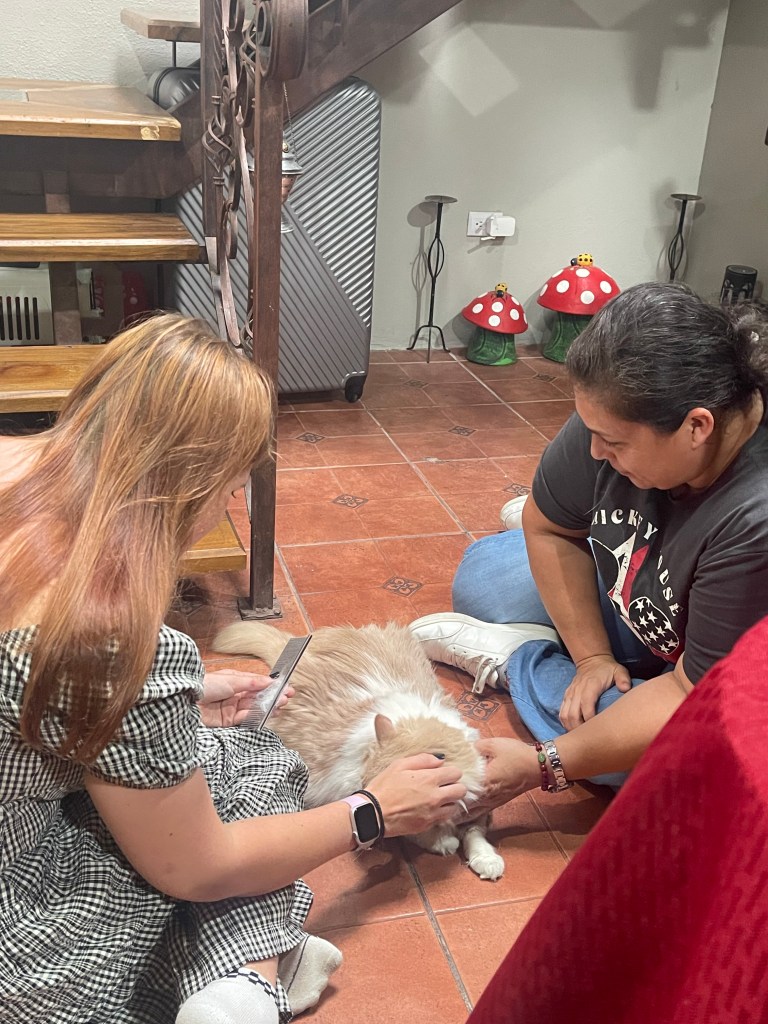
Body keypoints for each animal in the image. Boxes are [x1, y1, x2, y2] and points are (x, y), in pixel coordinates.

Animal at [212, 621, 505, 881]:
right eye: (367, 784)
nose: (367, 792)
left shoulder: (479, 798)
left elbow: (475, 830)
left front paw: (486, 859)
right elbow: (418, 831)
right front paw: (443, 841)